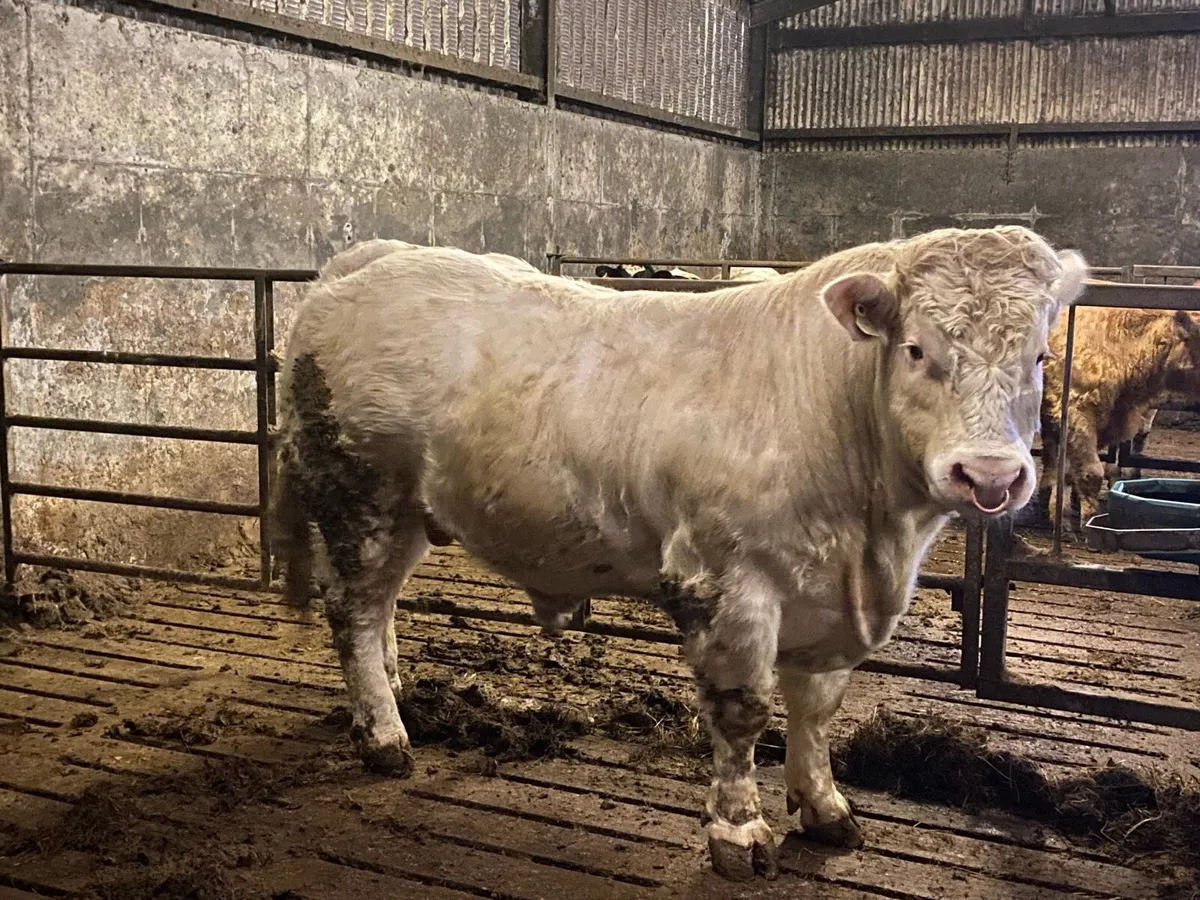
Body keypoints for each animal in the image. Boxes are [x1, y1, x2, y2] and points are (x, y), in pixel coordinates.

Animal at [269, 227, 1087, 880]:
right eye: (917, 350)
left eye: (1041, 357)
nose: (990, 476)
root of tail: (374, 259)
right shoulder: (728, 581)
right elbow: (743, 712)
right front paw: (740, 831)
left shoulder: (830, 602)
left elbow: (817, 708)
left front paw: (824, 806)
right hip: (360, 492)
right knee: (354, 609)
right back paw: (382, 734)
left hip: (408, 512)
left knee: (380, 607)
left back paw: (391, 692)